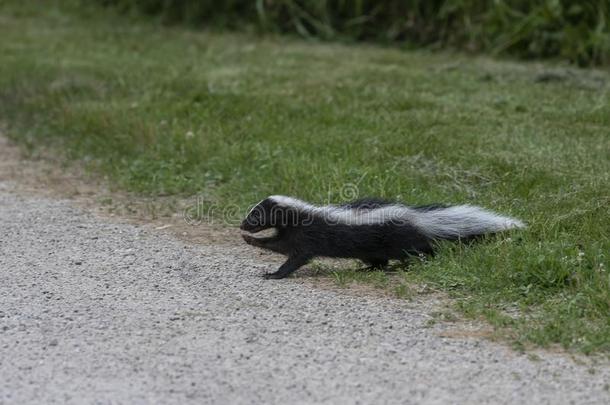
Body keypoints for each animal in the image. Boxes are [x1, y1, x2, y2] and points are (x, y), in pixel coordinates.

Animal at [239, 195, 524, 278]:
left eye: (255, 215)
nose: (242, 224)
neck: (299, 215)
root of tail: (415, 217)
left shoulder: (306, 236)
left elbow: (294, 256)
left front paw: (273, 274)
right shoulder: (293, 233)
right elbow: (279, 245)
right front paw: (251, 241)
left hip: (399, 240)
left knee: (421, 249)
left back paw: (419, 262)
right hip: (371, 248)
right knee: (379, 261)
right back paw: (366, 270)